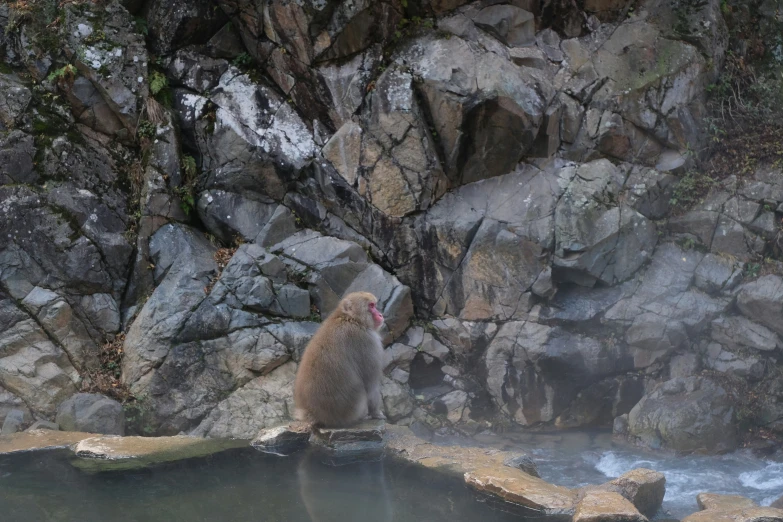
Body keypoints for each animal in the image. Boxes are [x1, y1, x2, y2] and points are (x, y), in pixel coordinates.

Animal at [296, 288, 388, 426]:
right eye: (371, 306)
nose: (380, 315)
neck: (352, 319)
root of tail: (315, 415)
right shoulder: (368, 342)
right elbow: (370, 383)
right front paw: (376, 413)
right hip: (351, 410)